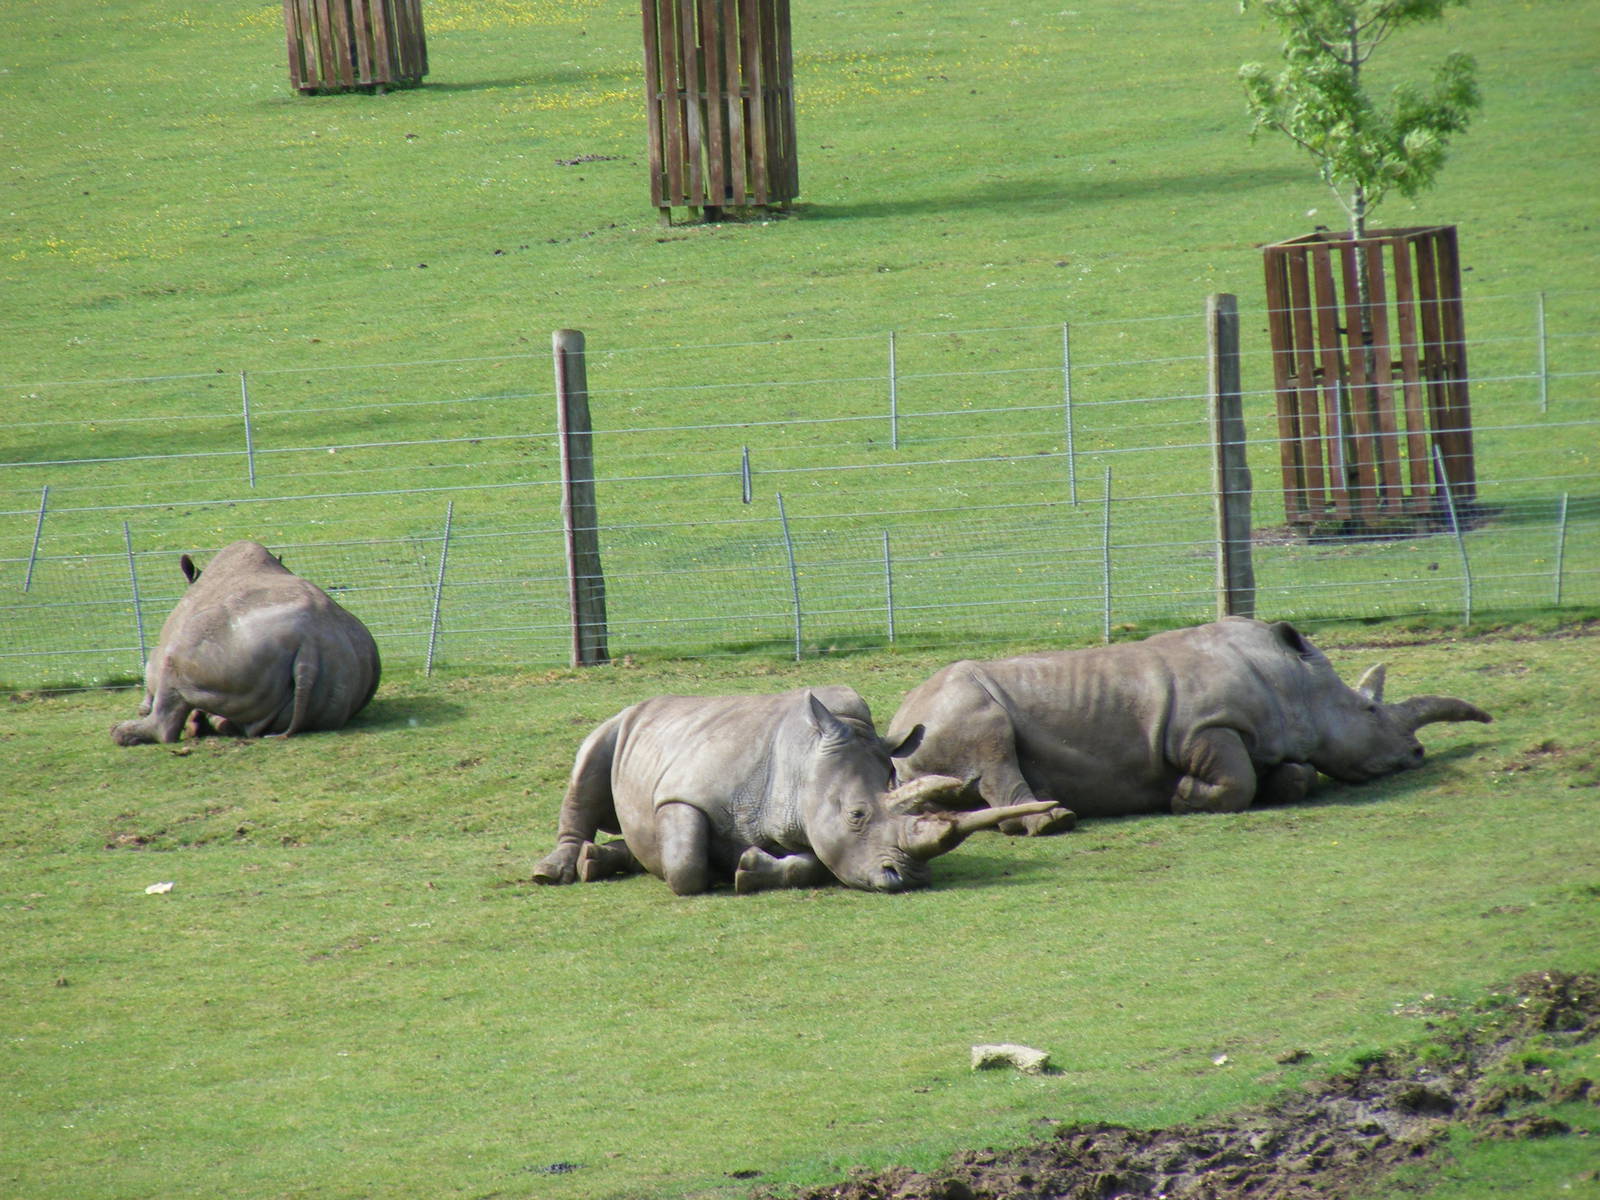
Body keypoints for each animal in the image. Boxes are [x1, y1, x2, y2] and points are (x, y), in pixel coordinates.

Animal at [110, 540, 381, 746]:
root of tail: (311, 645)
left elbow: (153, 674)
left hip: (223, 646)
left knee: (172, 680)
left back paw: (122, 733)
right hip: (342, 670)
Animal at [531, 685, 1056, 895]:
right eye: (857, 815)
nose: (909, 879)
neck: (803, 762)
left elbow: (810, 866)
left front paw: (745, 870)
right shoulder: (684, 793)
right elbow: (685, 866)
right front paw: (712, 870)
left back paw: (600, 862)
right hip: (622, 721)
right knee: (590, 757)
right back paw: (554, 872)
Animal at [884, 617, 1491, 822]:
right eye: (1370, 711)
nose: (1416, 754)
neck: (1292, 681)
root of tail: (900, 721)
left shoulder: (1266, 739)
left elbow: (1296, 775)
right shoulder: (1203, 727)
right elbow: (1234, 779)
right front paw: (1180, 798)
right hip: (958, 705)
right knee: (991, 746)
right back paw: (1056, 820)